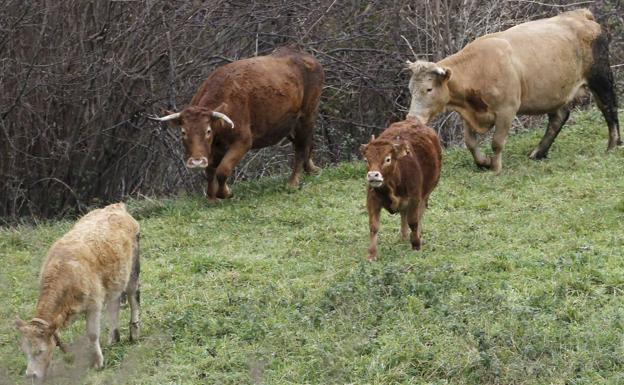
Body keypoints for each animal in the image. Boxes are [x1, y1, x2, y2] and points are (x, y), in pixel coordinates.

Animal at [14, 202, 140, 380]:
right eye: (25, 351)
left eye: (40, 351)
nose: (30, 375)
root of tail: (115, 206)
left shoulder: (94, 304)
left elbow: (92, 334)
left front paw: (98, 362)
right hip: (115, 281)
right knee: (114, 306)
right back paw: (113, 339)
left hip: (133, 269)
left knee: (133, 296)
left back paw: (134, 333)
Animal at [151, 45, 324, 198]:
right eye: (183, 132)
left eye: (208, 131)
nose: (197, 162)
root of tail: (305, 56)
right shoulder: (215, 148)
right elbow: (210, 170)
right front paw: (211, 196)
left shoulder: (243, 141)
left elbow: (223, 170)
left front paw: (225, 193)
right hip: (289, 123)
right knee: (307, 142)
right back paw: (311, 169)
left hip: (307, 114)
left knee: (300, 147)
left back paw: (293, 182)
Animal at [360, 118, 444, 260]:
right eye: (366, 160)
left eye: (388, 159)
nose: (373, 175)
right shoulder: (372, 200)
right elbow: (374, 226)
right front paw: (372, 254)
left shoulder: (415, 199)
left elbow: (414, 222)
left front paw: (416, 244)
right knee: (404, 214)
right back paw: (404, 236)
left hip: (426, 193)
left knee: (419, 215)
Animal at [404, 9, 620, 172]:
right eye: (411, 89)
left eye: (429, 88)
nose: (412, 118)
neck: (479, 67)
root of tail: (580, 15)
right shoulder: (470, 112)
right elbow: (470, 142)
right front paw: (483, 161)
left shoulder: (506, 109)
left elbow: (497, 142)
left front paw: (495, 167)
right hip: (556, 91)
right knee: (559, 117)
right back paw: (538, 153)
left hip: (600, 77)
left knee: (609, 108)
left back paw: (613, 145)